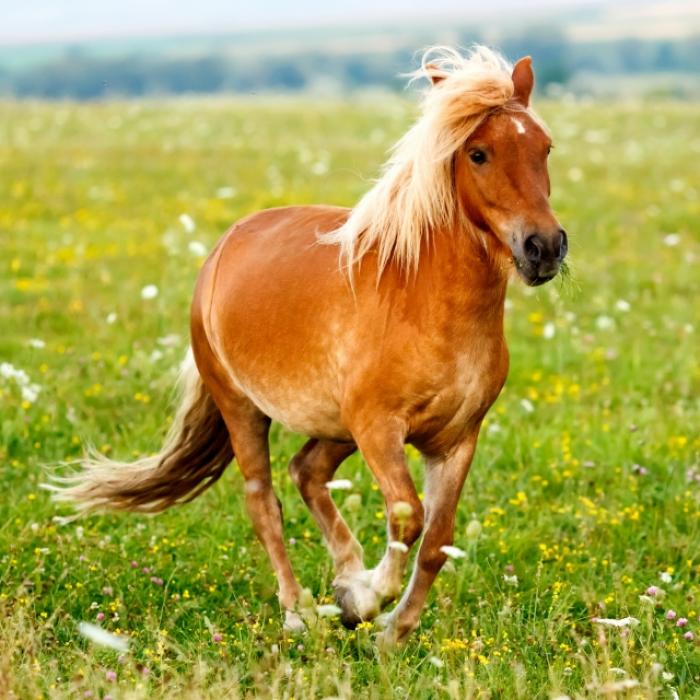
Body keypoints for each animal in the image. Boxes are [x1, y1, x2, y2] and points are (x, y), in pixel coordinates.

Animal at [52, 45, 568, 646]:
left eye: (544, 147)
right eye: (479, 153)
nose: (544, 248)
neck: (425, 303)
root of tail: (225, 246)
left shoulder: (456, 439)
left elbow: (437, 540)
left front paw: (390, 631)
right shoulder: (379, 428)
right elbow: (407, 515)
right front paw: (368, 599)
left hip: (335, 426)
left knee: (307, 471)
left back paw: (343, 579)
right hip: (245, 407)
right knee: (263, 500)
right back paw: (299, 611)